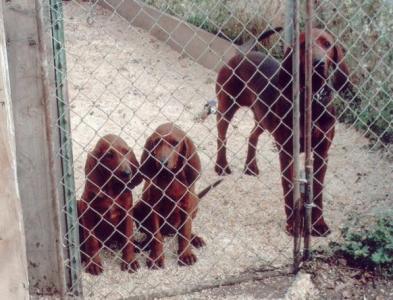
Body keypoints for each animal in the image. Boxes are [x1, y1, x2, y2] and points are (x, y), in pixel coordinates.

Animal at [76, 135, 142, 276]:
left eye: (126, 152)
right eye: (109, 155)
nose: (127, 173)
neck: (111, 190)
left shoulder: (127, 211)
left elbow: (128, 237)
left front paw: (129, 260)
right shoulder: (86, 210)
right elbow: (91, 241)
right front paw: (94, 263)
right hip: (78, 204)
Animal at [133, 123, 204, 268]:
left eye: (175, 143)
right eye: (156, 142)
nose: (162, 162)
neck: (170, 177)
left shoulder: (186, 207)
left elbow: (185, 233)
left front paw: (186, 254)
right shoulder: (154, 209)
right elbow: (156, 236)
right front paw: (156, 257)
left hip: (195, 203)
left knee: (183, 230)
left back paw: (195, 238)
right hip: (138, 208)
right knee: (150, 234)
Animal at [214, 28, 350, 237]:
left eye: (327, 44)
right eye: (303, 45)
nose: (317, 63)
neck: (310, 101)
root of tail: (242, 54)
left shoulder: (322, 153)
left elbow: (318, 192)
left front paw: (318, 224)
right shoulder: (287, 152)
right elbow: (289, 188)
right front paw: (293, 225)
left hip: (263, 117)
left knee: (252, 135)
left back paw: (250, 167)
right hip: (227, 106)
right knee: (221, 136)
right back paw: (221, 165)